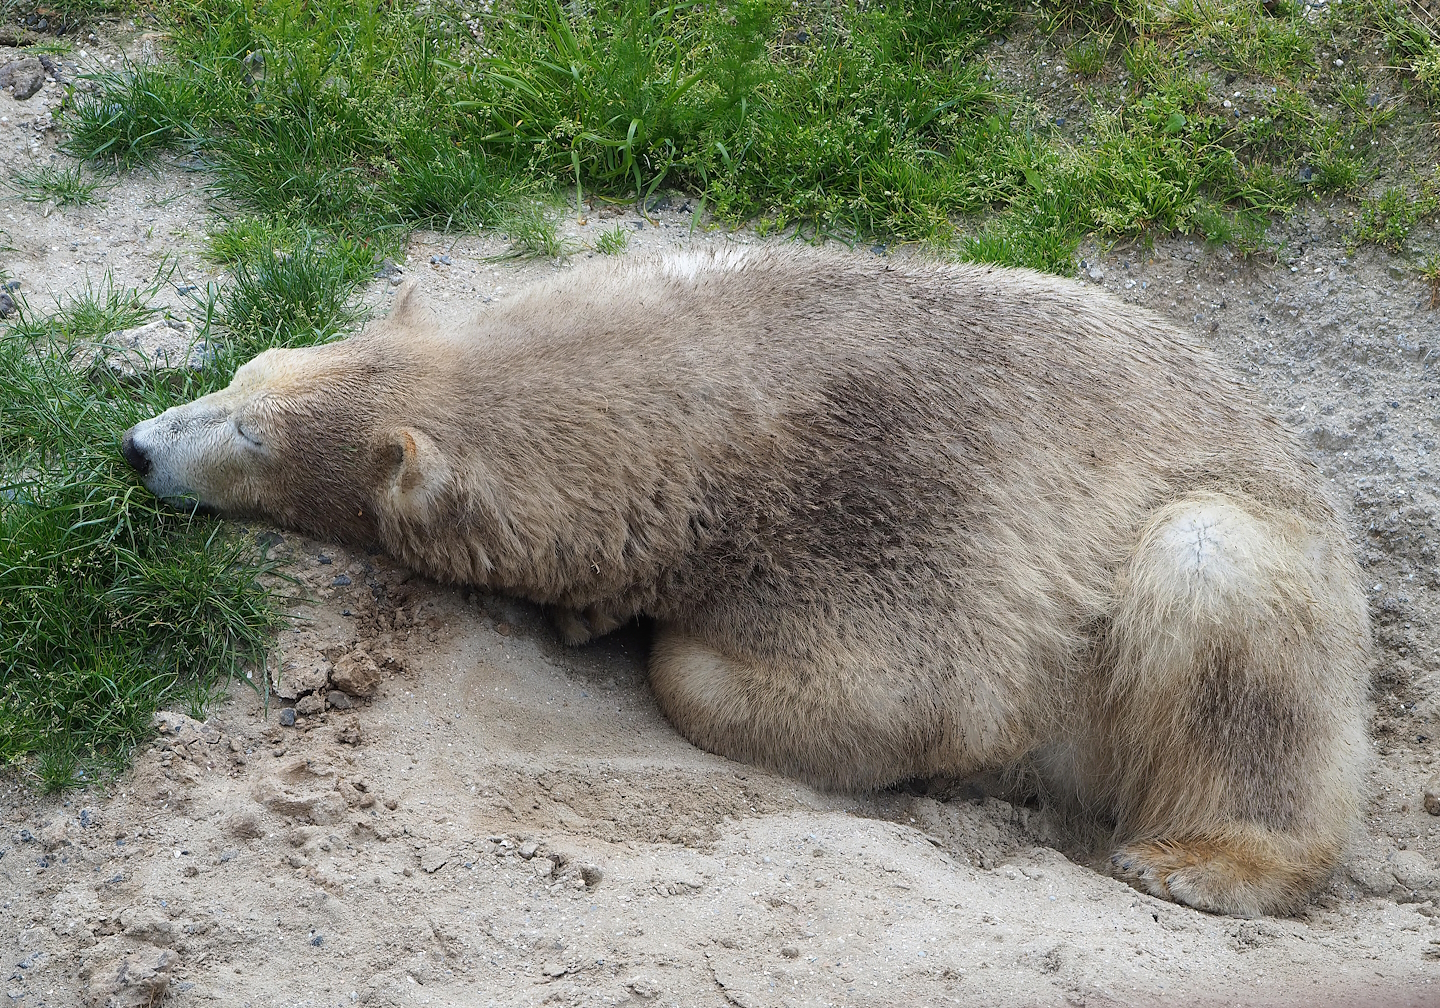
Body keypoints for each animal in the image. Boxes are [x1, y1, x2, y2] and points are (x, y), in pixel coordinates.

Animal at [122, 246, 1371, 917]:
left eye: (249, 436)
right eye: (245, 372)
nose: (134, 446)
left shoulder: (891, 513)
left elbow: (904, 696)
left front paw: (651, 629)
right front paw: (594, 604)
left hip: (1264, 559)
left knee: (1212, 584)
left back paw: (1202, 860)